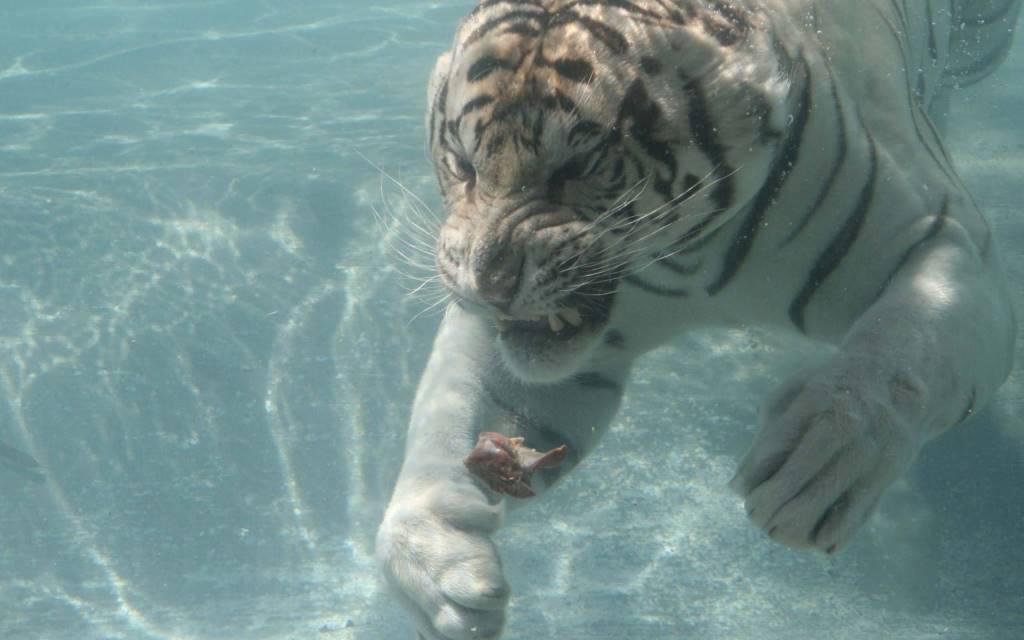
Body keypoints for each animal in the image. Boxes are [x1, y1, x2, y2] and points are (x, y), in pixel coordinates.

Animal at [378, 2, 1024, 634]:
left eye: (579, 165)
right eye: (464, 165)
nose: (489, 287)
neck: (689, 258)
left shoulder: (948, 240)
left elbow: (903, 352)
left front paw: (820, 463)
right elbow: (451, 410)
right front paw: (436, 564)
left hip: (983, 45)